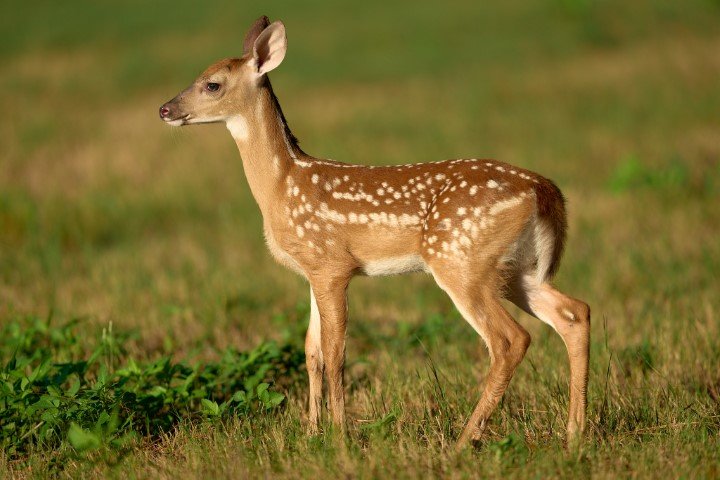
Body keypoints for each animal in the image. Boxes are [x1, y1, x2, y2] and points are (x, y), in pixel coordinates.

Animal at [159, 15, 592, 450]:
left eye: (212, 83)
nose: (165, 109)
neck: (282, 184)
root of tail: (544, 190)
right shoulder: (313, 272)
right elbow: (311, 351)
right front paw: (311, 432)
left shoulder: (332, 265)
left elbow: (335, 352)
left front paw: (339, 437)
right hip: (514, 268)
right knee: (574, 313)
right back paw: (574, 434)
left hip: (461, 260)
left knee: (509, 340)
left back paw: (463, 441)